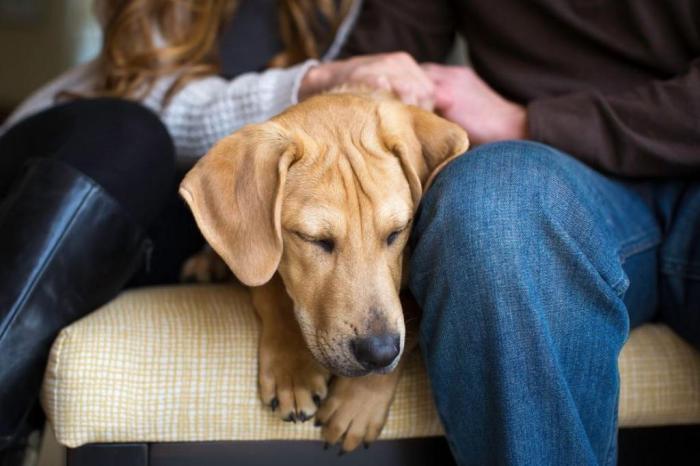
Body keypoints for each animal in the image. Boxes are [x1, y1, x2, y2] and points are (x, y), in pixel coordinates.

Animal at [178, 89, 468, 454]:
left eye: (397, 232)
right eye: (314, 239)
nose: (379, 353)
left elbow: (410, 321)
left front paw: (359, 400)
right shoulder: (261, 258)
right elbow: (272, 289)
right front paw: (292, 369)